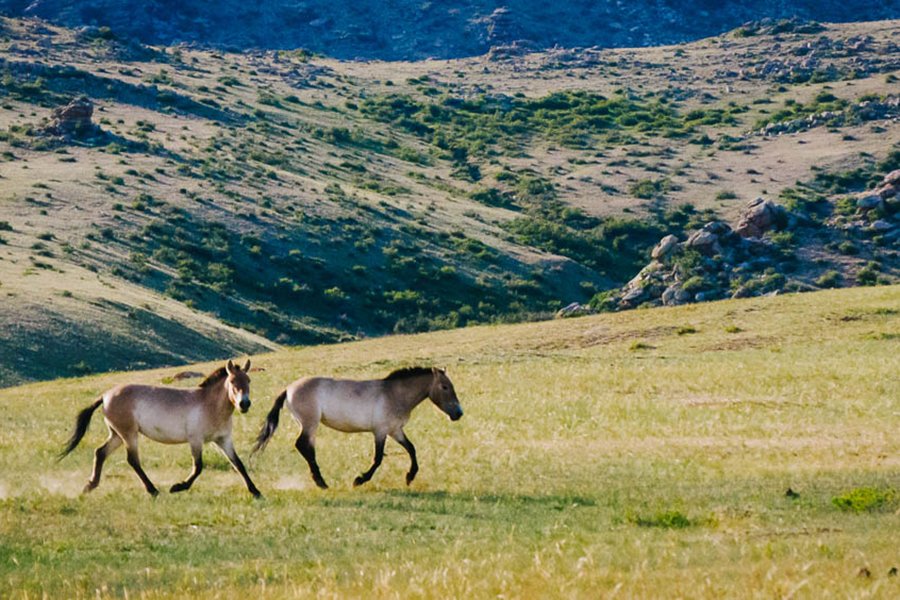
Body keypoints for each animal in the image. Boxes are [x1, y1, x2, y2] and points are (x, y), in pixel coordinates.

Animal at [59, 360, 260, 496]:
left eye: (249, 380)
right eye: (232, 381)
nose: (244, 404)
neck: (209, 405)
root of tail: (105, 395)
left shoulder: (223, 440)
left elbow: (239, 464)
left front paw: (256, 492)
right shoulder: (196, 440)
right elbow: (198, 467)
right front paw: (178, 487)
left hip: (117, 435)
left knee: (100, 452)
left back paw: (90, 486)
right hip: (128, 434)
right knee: (132, 460)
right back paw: (153, 490)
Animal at [253, 366, 464, 488]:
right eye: (445, 387)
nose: (458, 413)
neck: (393, 394)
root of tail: (288, 389)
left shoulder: (395, 431)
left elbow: (411, 449)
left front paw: (409, 477)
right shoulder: (380, 432)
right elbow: (378, 459)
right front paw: (359, 480)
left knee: (305, 448)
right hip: (310, 424)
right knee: (303, 446)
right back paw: (321, 482)